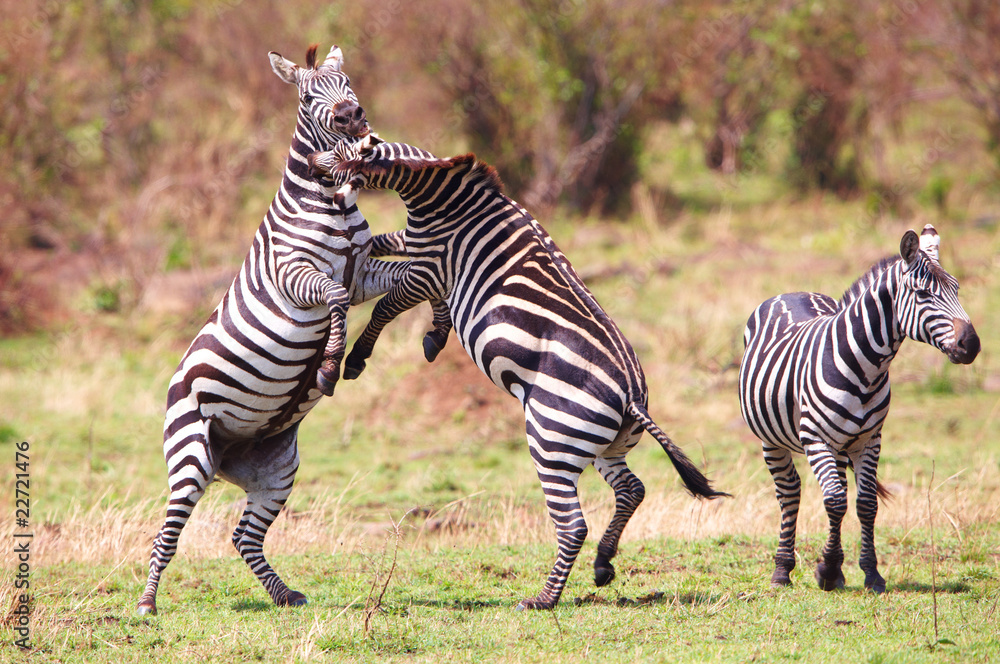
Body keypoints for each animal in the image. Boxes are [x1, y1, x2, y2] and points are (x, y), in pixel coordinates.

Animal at [136, 45, 443, 615]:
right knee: (168, 531)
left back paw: (284, 595)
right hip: (190, 452)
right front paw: (329, 366)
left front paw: (436, 331)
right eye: (306, 96)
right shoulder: (297, 275)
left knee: (243, 537)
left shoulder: (363, 271)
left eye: (349, 82)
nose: (352, 117)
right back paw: (147, 603)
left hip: (277, 467)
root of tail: (224, 457)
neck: (333, 202)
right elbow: (337, 298)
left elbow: (416, 277)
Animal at [307, 136, 729, 610]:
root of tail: (631, 396)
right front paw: (433, 335)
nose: (310, 165)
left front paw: (358, 358)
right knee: (631, 489)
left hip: (553, 438)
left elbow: (386, 305)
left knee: (573, 524)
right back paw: (603, 564)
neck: (441, 198)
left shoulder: (428, 269)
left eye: (337, 153)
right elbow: (386, 245)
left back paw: (543, 599)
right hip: (607, 445)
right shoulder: (421, 256)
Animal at [738, 225, 979, 593]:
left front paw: (867, 573)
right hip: (773, 439)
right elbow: (835, 501)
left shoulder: (870, 439)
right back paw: (782, 569)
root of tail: (793, 292)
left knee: (837, 487)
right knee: (791, 492)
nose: (972, 345)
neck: (867, 368)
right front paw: (827, 569)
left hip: (842, 444)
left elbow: (865, 504)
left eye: (957, 289)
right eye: (923, 294)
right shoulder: (816, 438)